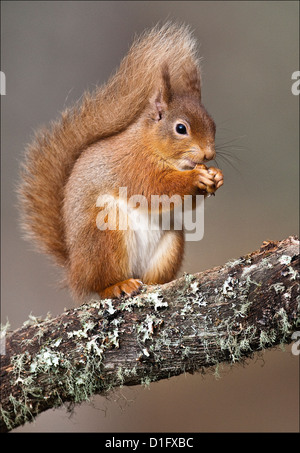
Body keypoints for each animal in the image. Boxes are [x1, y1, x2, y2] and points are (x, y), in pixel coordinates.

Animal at [18, 23, 223, 302]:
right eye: (181, 128)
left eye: (213, 124)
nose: (208, 154)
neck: (150, 145)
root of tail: (76, 272)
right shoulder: (133, 166)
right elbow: (155, 189)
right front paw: (196, 177)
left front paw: (216, 177)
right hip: (106, 234)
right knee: (102, 284)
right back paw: (118, 286)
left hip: (171, 240)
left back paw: (156, 284)